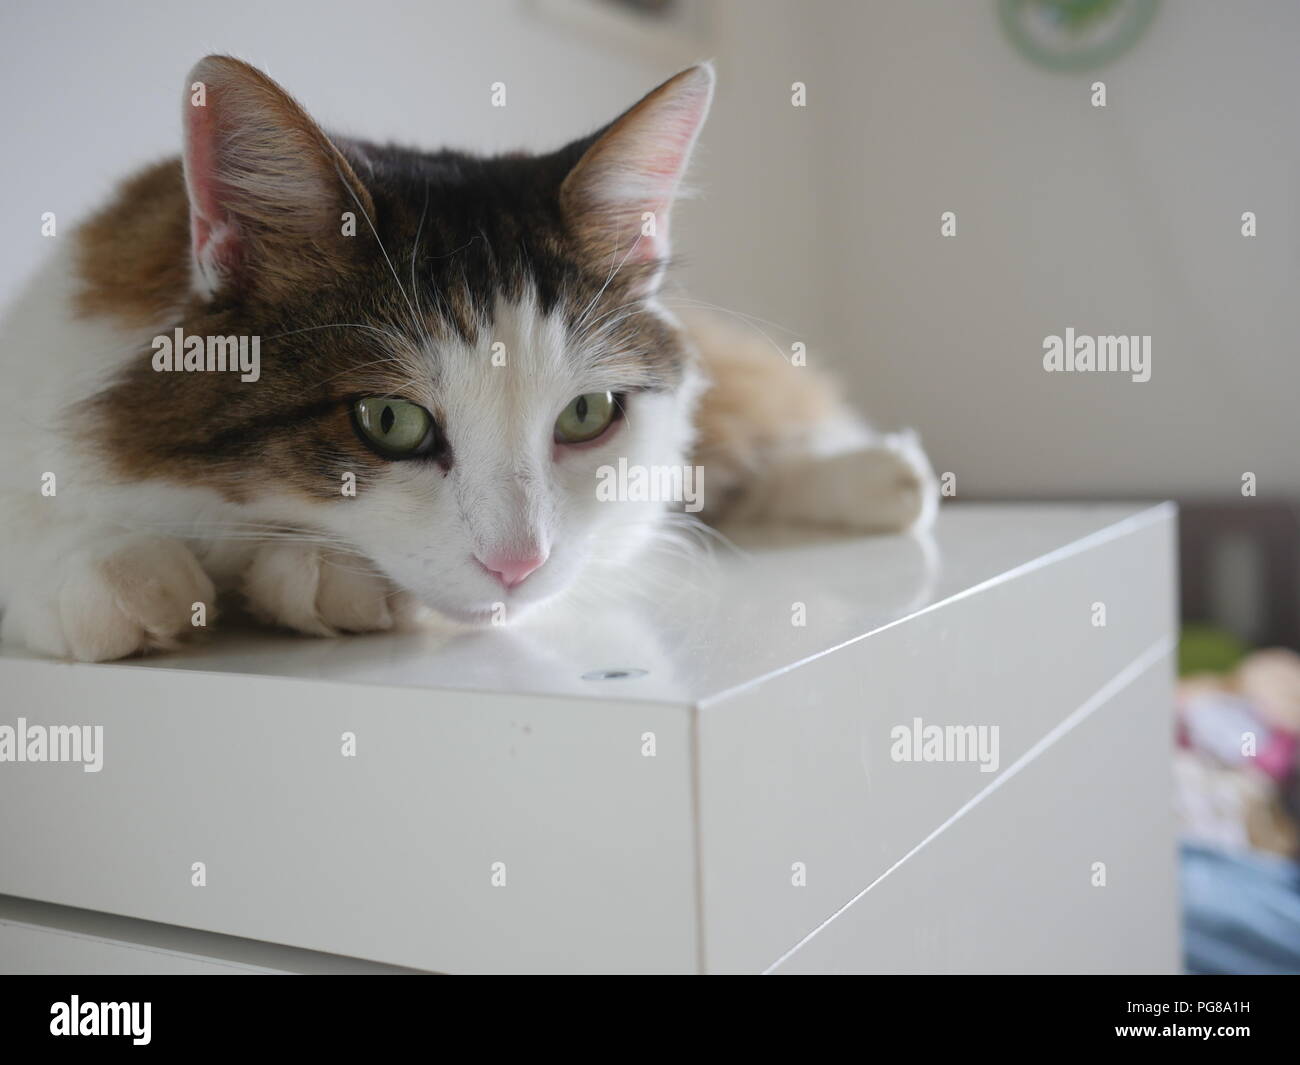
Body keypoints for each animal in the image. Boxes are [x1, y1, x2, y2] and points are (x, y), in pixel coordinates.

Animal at [0, 54, 935, 663]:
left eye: (586, 416)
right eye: (388, 420)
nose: (517, 565)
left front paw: (319, 573)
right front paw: (103, 568)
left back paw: (888, 477)